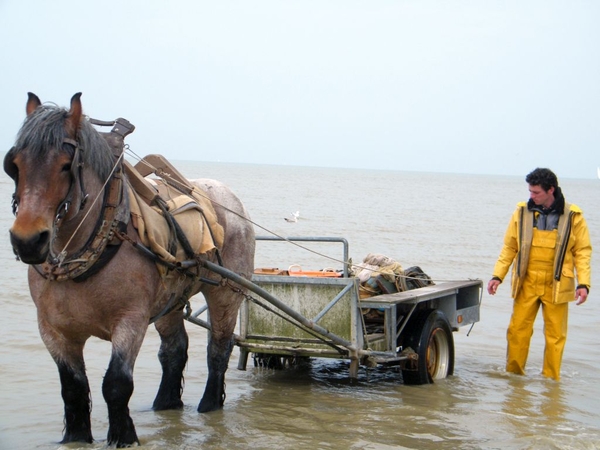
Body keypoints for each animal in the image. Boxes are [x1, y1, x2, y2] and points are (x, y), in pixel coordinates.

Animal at [4, 93, 255, 448]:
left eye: (66, 165)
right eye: (13, 164)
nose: (27, 240)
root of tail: (230, 198)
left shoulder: (130, 322)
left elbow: (116, 384)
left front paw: (123, 435)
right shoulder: (53, 331)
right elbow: (73, 389)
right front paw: (77, 436)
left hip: (225, 293)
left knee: (218, 349)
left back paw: (209, 405)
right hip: (170, 300)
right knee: (174, 350)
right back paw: (165, 403)